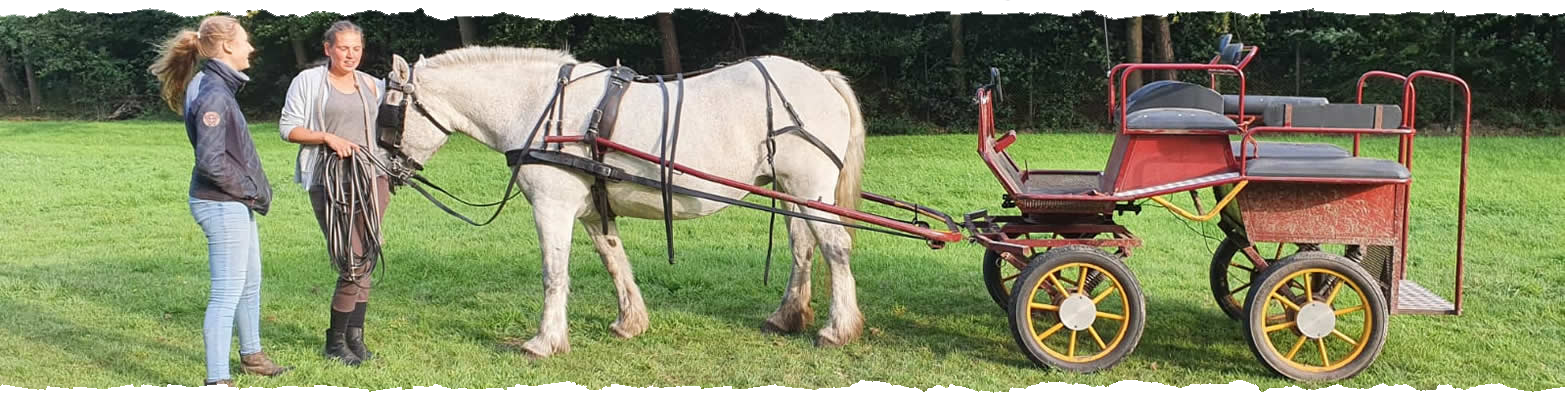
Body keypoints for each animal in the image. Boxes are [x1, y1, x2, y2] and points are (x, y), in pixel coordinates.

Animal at [377, 48, 870, 357]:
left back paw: (837, 329)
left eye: (387, 116)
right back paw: (787, 316)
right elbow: (614, 260)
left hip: (811, 188)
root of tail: (821, 78)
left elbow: (553, 274)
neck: (540, 108)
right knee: (802, 247)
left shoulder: (551, 207)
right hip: (788, 190)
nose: (382, 171)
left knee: (836, 248)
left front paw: (544, 342)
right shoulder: (594, 210)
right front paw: (630, 322)